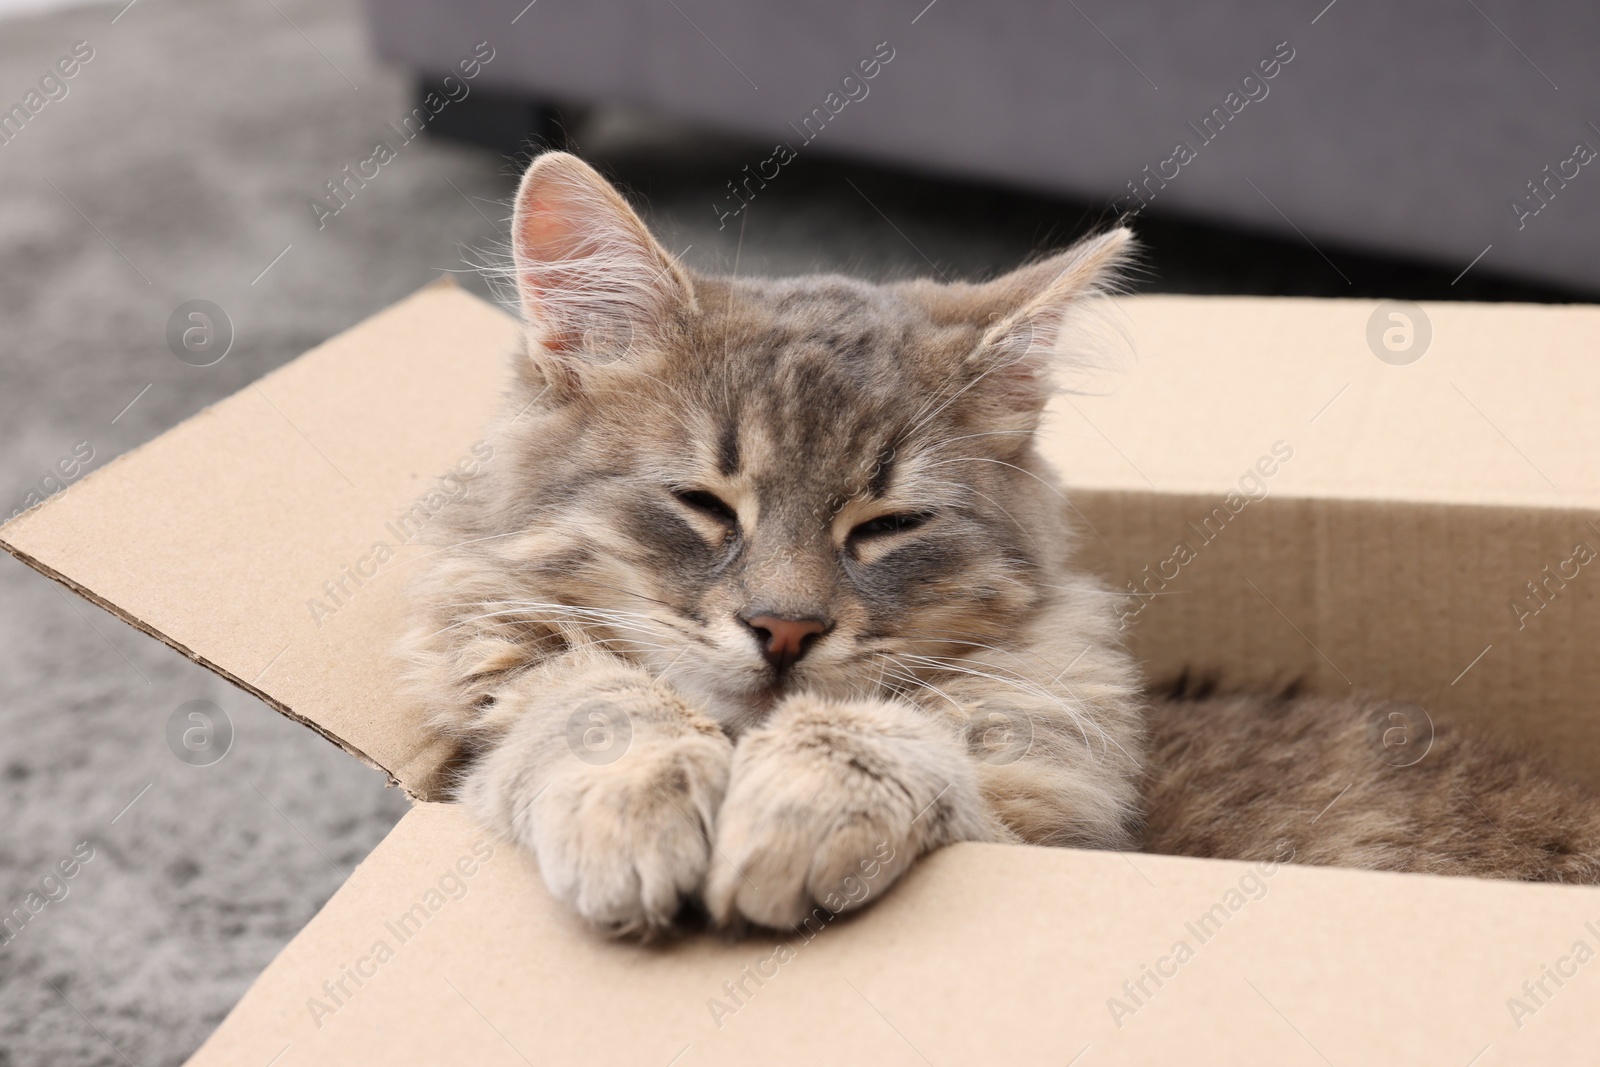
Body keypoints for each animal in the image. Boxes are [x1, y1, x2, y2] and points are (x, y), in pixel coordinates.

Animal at [403, 150, 1600, 934]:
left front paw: (792, 812)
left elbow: (893, 735)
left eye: (886, 524)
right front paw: (635, 813)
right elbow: (599, 698)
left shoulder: (1047, 840)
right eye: (705, 503)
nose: (784, 629)